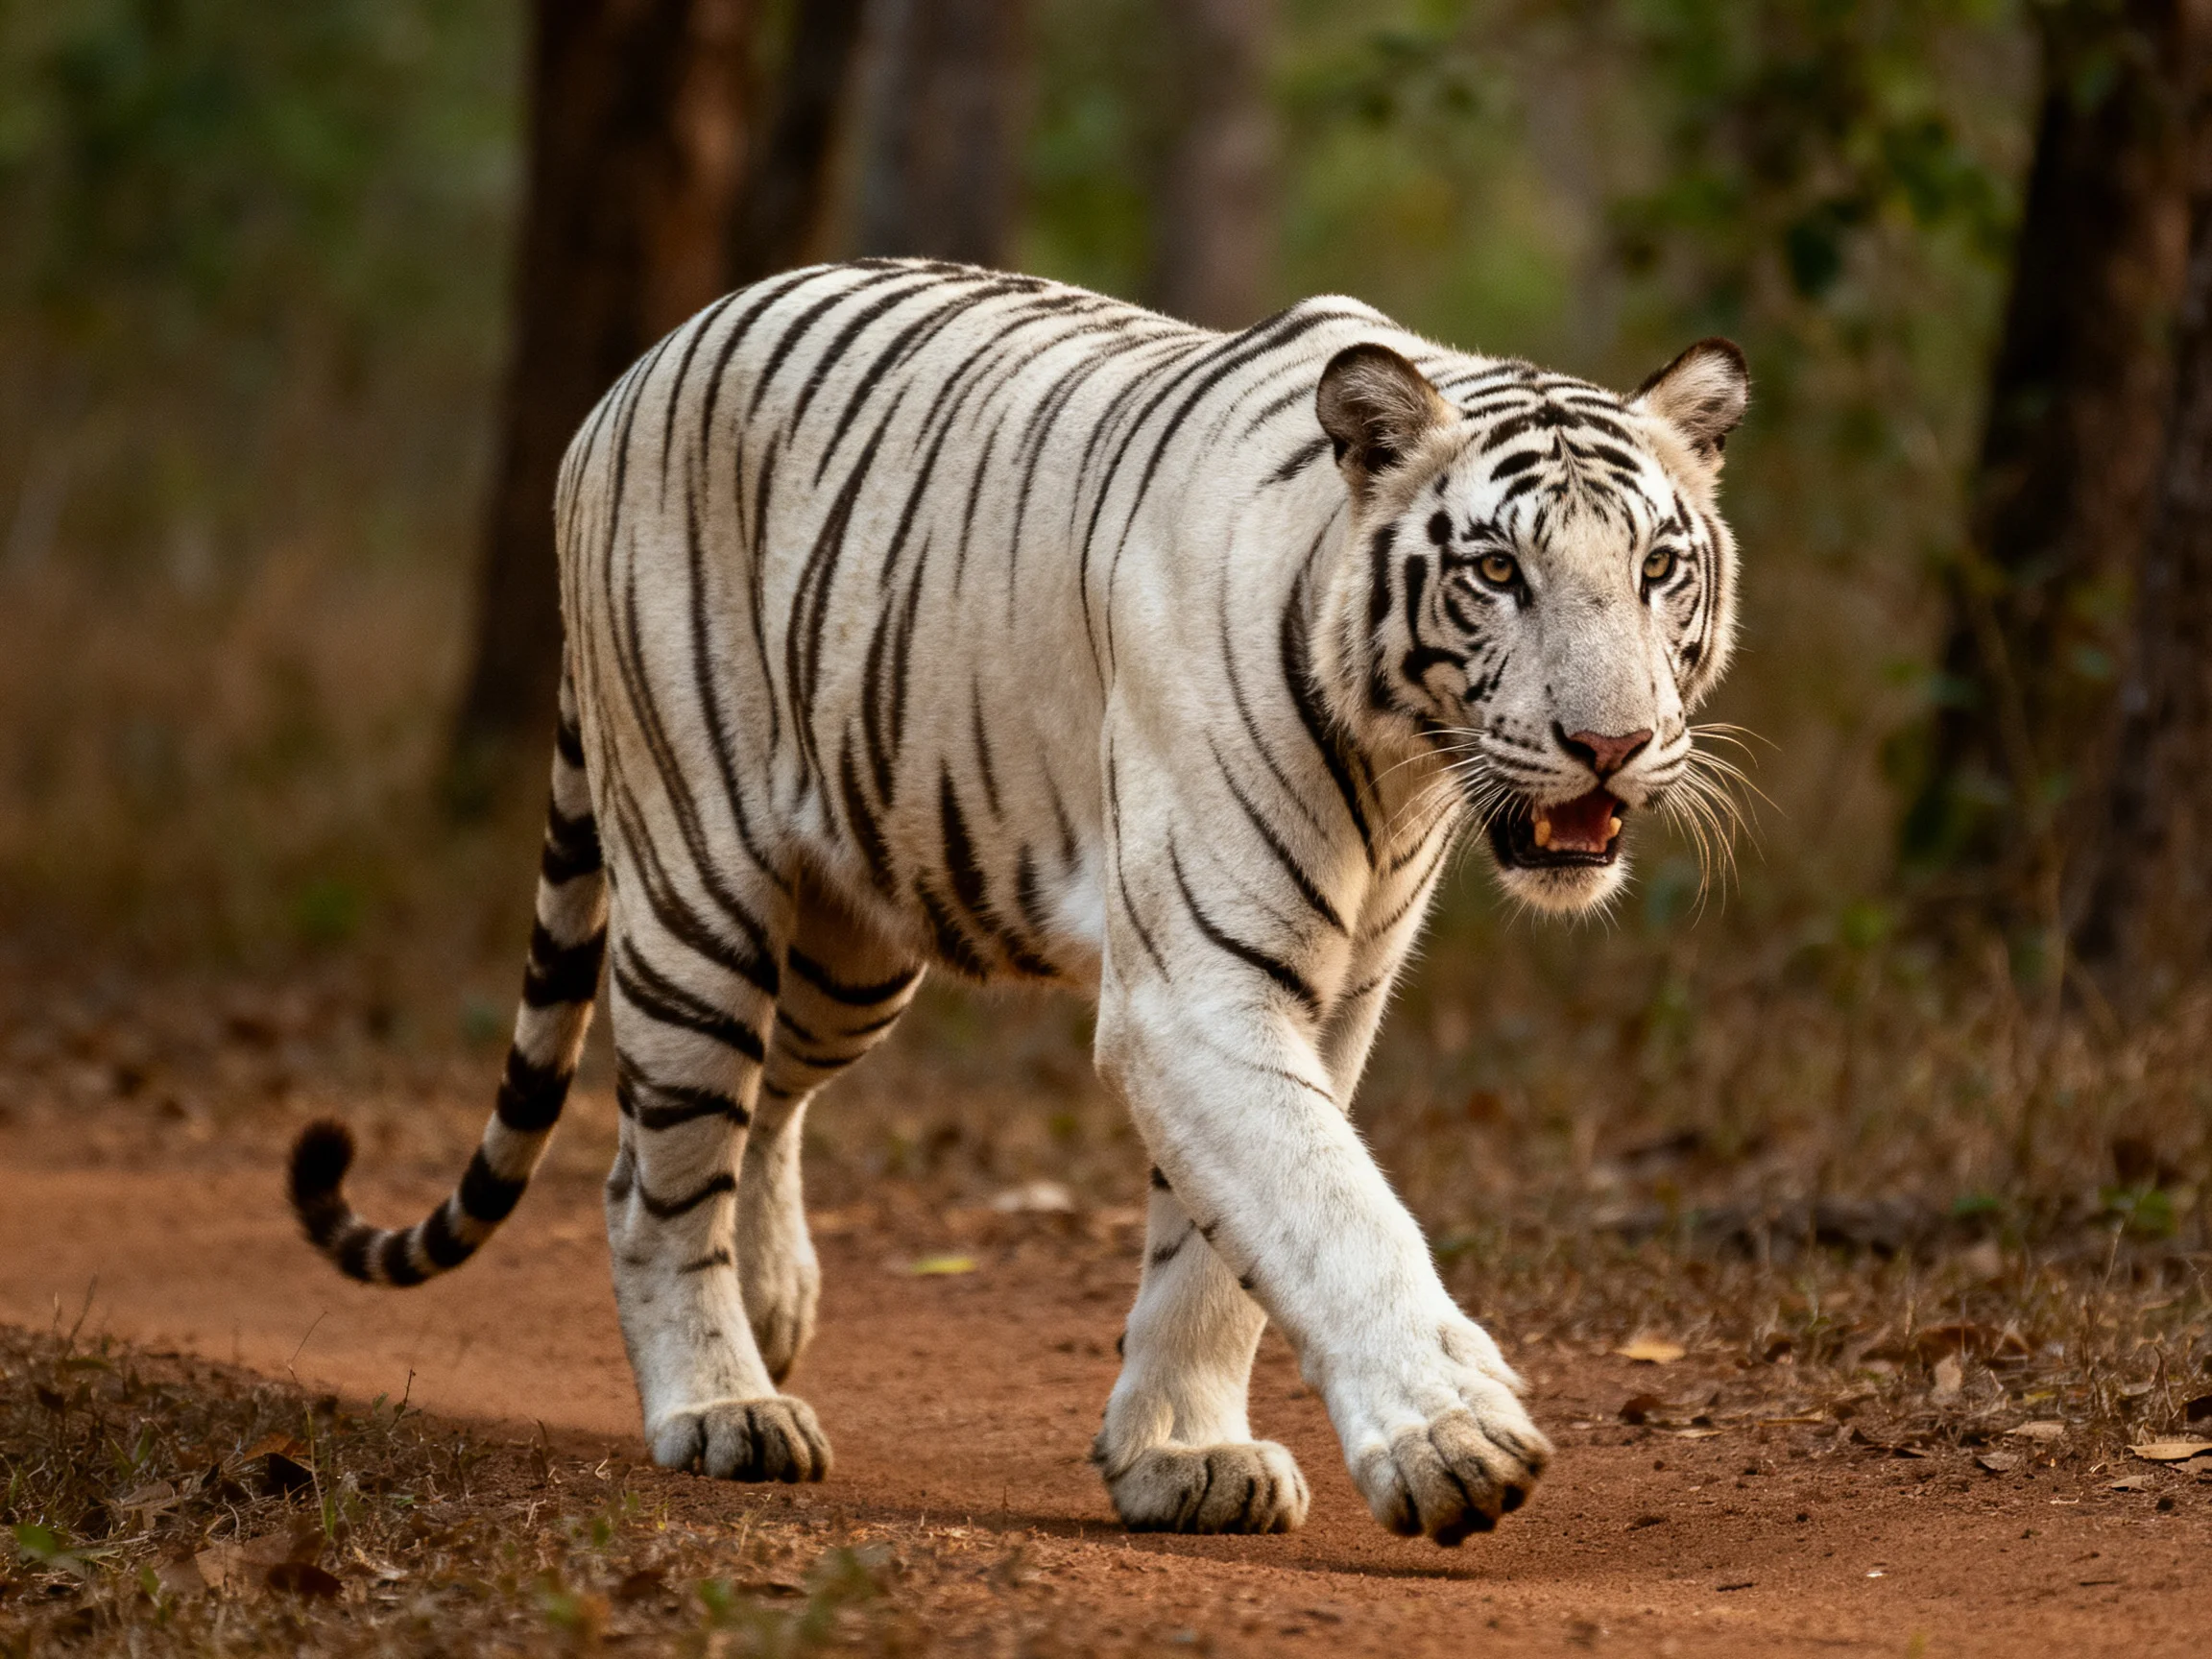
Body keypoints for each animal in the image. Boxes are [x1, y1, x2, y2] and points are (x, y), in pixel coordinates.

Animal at [289, 258, 1747, 1546]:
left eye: (1658, 570)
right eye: (1498, 573)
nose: (1611, 745)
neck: (1402, 768)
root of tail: (639, 368)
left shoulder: (1327, 996)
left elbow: (1222, 1245)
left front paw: (1181, 1457)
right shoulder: (1198, 991)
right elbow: (1329, 1205)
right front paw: (1454, 1441)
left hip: (852, 948)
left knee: (735, 1117)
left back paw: (773, 1303)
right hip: (697, 894)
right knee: (659, 1173)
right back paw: (720, 1405)